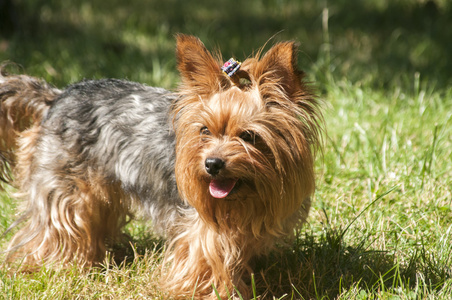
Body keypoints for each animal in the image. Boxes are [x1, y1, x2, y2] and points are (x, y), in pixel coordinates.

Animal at [1, 34, 324, 298]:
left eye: (249, 136)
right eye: (204, 130)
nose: (212, 164)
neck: (244, 200)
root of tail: (56, 97)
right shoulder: (202, 230)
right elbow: (206, 262)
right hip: (62, 182)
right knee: (57, 224)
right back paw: (54, 265)